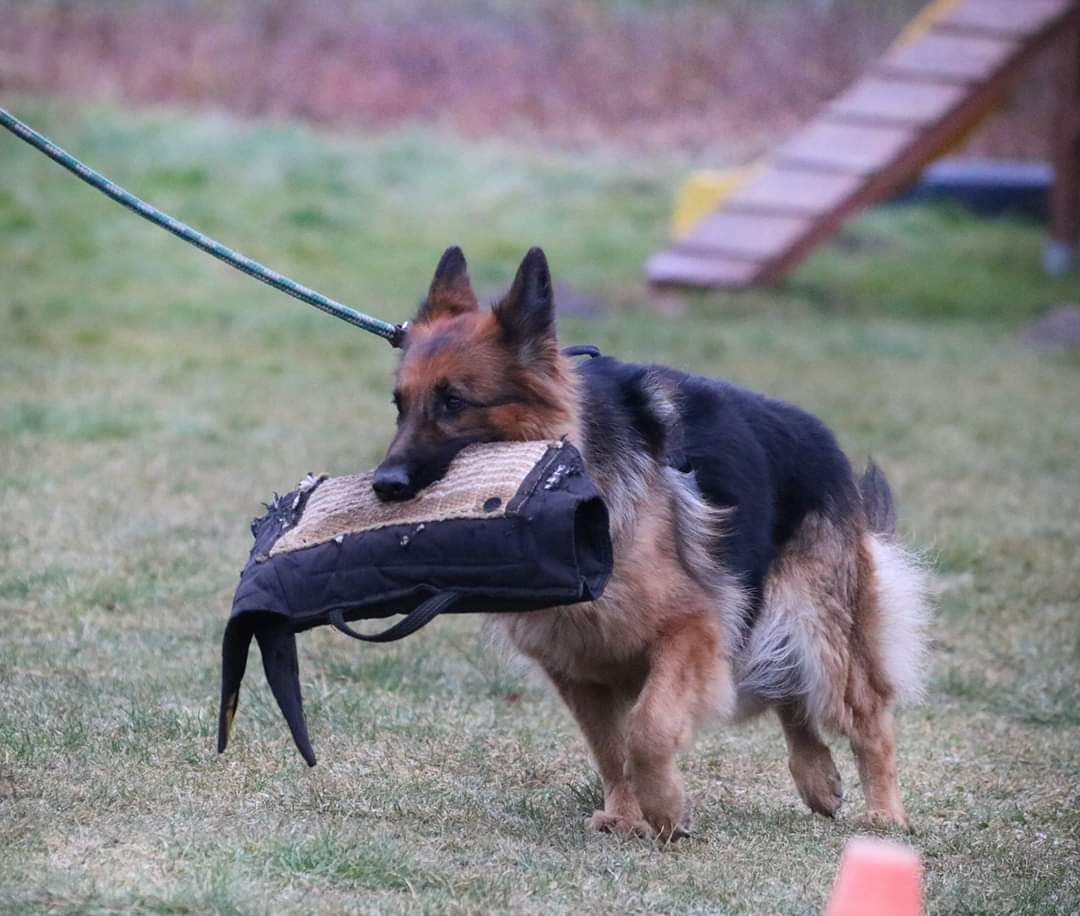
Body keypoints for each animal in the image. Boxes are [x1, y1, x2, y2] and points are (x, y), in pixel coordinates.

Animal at [373, 245, 931, 839]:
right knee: (788, 692)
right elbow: (609, 747)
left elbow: (647, 728)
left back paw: (885, 813)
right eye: (400, 405)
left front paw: (664, 808)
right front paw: (625, 815)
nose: (385, 486)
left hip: (816, 629)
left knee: (865, 714)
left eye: (454, 402)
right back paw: (818, 778)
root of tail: (825, 443)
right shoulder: (576, 668)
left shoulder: (690, 631)